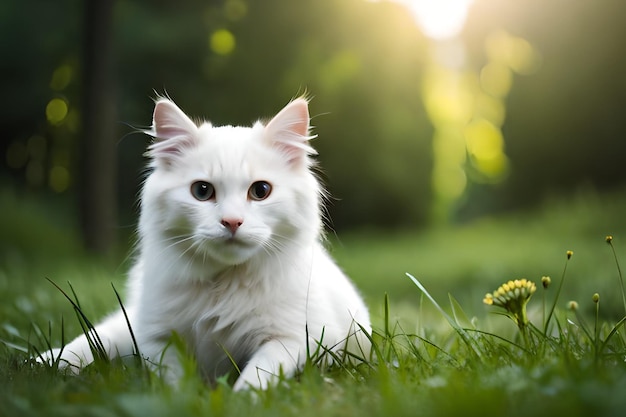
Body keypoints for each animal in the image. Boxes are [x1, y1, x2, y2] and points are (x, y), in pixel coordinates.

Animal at [44, 95, 370, 390]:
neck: (223, 285)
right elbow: (173, 382)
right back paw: (42, 363)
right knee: (94, 341)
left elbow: (256, 376)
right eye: (202, 191)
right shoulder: (158, 338)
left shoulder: (296, 338)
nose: (232, 222)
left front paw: (239, 400)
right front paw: (186, 397)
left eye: (261, 191)